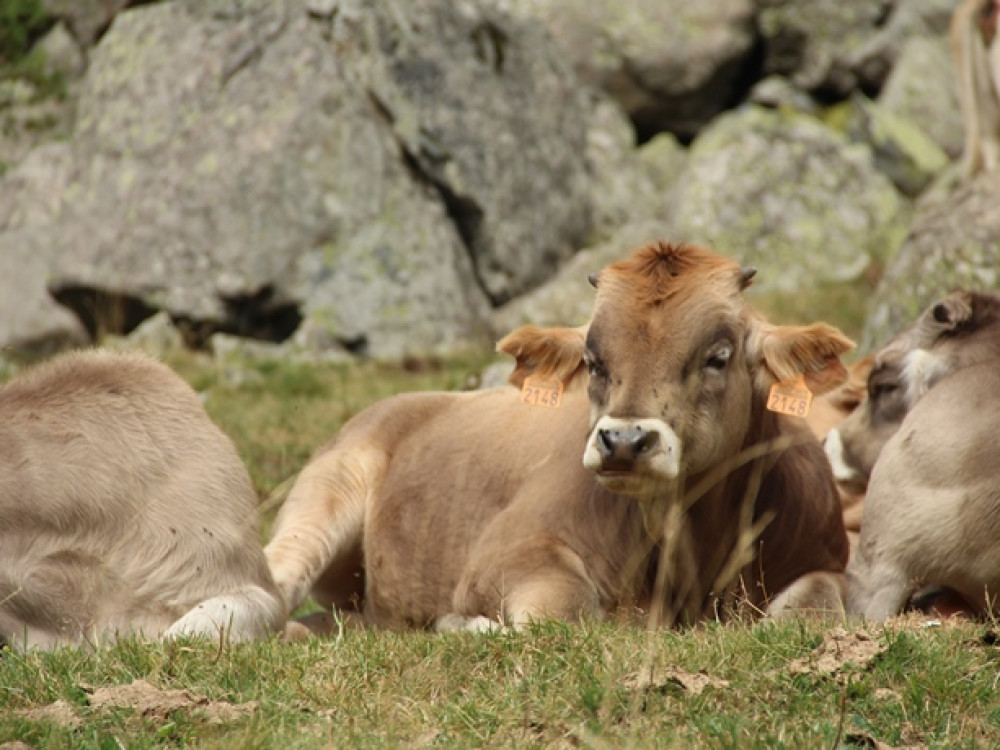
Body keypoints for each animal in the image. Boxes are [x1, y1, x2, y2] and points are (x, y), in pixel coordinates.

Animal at [265, 241, 854, 631]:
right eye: (593, 361)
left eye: (717, 357)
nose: (624, 442)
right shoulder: (502, 553)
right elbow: (562, 610)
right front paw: (469, 627)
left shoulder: (825, 559)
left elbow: (816, 607)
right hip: (322, 497)